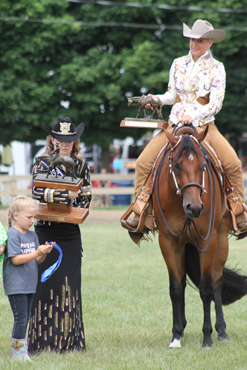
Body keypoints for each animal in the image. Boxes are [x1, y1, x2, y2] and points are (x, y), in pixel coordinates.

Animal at [153, 125, 247, 348]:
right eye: (177, 165)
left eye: (203, 165)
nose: (194, 207)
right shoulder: (168, 242)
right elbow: (175, 288)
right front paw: (175, 337)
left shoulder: (207, 240)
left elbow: (206, 289)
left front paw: (207, 338)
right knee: (183, 283)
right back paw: (182, 328)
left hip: (220, 240)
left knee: (217, 282)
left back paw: (221, 331)